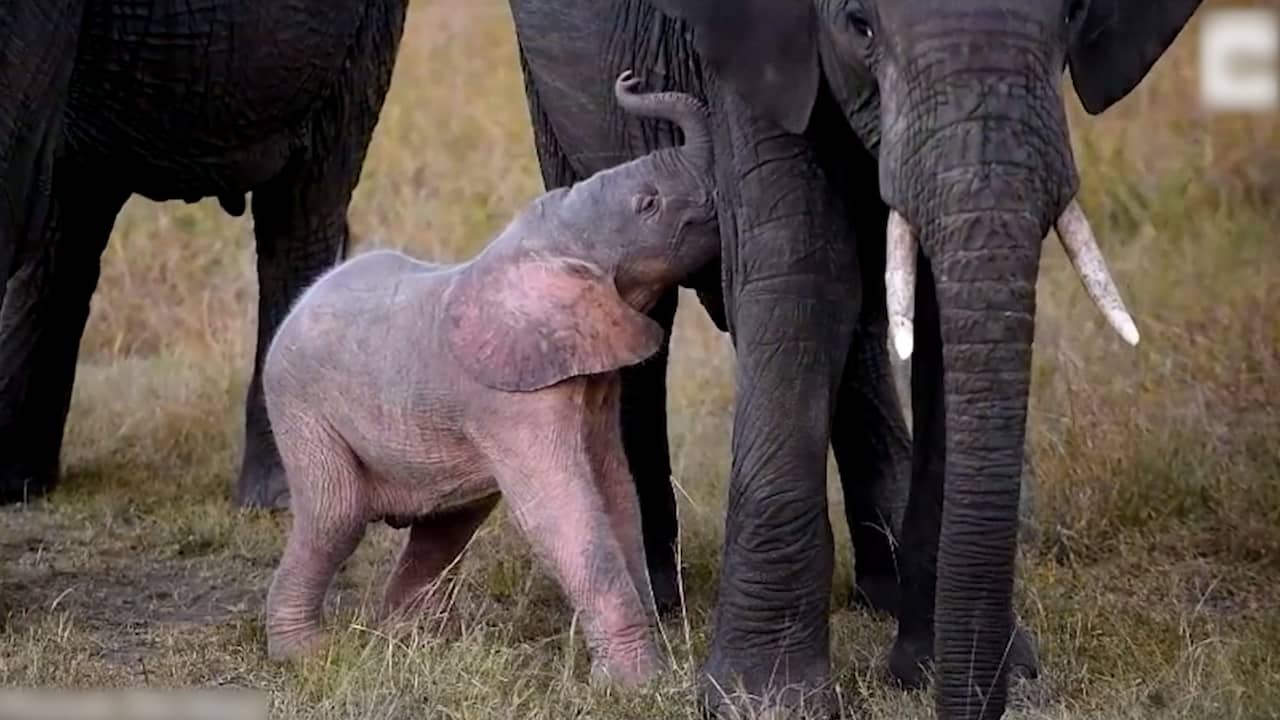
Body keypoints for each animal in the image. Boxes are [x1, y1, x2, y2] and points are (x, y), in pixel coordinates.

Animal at [262, 72, 718, 686]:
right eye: (648, 203)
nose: (631, 79)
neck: (548, 239)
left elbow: (616, 491)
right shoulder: (509, 403)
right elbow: (562, 511)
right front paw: (635, 686)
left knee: (447, 525)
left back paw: (411, 642)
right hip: (301, 410)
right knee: (335, 515)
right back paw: (306, 655)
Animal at [506, 0, 1204, 718]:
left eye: (1073, 16)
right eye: (858, 25)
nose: (984, 693)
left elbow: (930, 301)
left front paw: (938, 668)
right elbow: (802, 270)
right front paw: (765, 703)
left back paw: (884, 587)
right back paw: (659, 595)